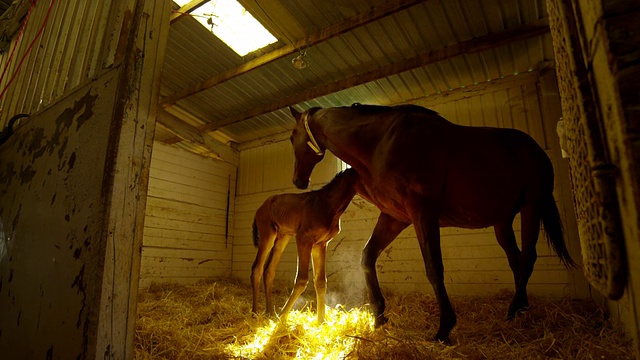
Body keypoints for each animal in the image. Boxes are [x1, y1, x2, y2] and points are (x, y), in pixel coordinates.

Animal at [251, 168, 360, 324]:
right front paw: (282, 316)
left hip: (282, 237)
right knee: (257, 268)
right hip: (267, 234)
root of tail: (259, 209)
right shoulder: (303, 239)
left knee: (269, 270)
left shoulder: (320, 244)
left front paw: (321, 321)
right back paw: (255, 313)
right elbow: (302, 279)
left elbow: (320, 281)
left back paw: (269, 312)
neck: (328, 204)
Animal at [288, 103, 576, 344]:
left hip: (532, 207)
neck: (381, 142)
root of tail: (536, 150)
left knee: (527, 258)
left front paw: (444, 328)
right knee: (516, 260)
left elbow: (434, 268)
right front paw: (379, 315)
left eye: (292, 137)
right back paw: (519, 309)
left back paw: (515, 308)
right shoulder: (395, 217)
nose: (298, 181)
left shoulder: (423, 213)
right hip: (502, 221)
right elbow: (368, 256)